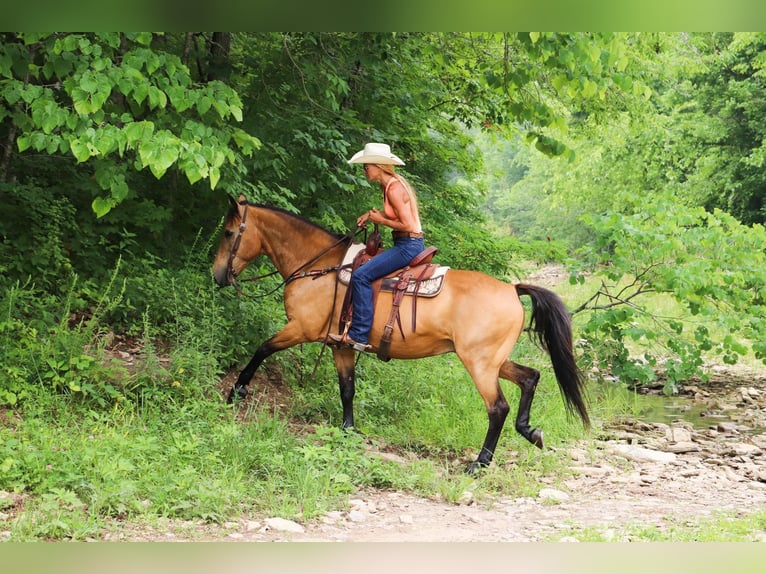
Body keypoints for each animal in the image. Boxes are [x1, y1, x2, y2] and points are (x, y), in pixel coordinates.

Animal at [213, 196, 592, 474]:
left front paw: (237, 390)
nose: (217, 275)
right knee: (530, 377)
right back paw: (530, 432)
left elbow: (262, 348)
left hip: (479, 363)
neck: (318, 268)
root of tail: (513, 290)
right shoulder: (340, 345)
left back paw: (480, 463)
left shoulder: (300, 329)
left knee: (497, 407)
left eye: (229, 233)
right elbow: (347, 389)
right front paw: (348, 431)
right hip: (492, 359)